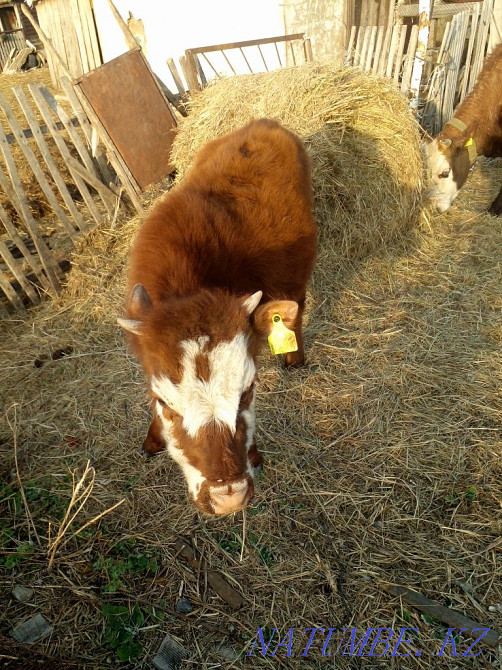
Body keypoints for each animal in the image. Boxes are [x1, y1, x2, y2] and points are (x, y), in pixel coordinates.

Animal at [118, 121, 316, 516]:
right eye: (164, 403)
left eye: (248, 391)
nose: (229, 498)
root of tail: (264, 124)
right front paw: (152, 439)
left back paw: (294, 356)